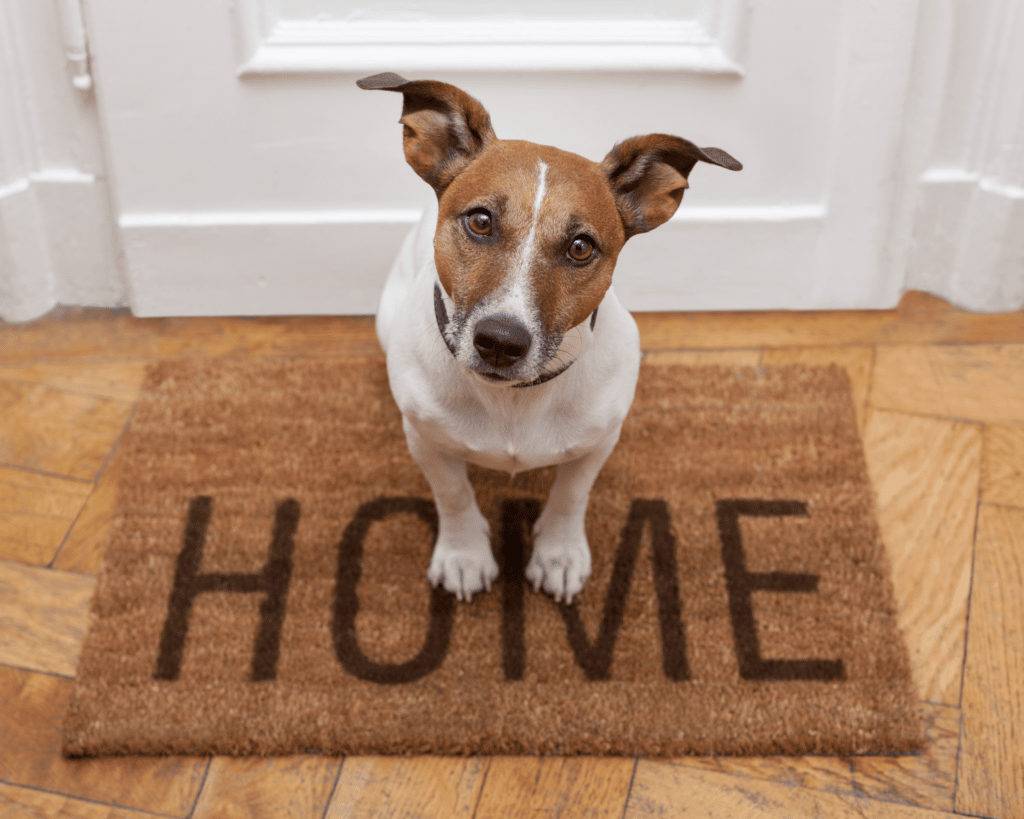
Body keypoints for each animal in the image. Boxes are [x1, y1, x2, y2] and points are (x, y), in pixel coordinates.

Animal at [356, 73, 741, 606]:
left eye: (581, 247)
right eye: (480, 221)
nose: (500, 341)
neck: (513, 400)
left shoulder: (599, 441)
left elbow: (570, 495)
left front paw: (559, 554)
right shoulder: (425, 439)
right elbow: (453, 494)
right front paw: (464, 554)